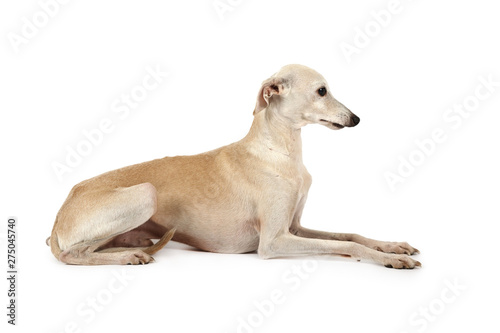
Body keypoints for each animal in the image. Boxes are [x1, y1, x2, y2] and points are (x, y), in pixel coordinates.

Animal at [47, 64, 422, 268]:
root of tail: (59, 216)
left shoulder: (295, 227)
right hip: (146, 193)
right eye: (321, 91)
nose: (356, 119)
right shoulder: (273, 241)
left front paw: (392, 246)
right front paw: (390, 259)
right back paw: (127, 257)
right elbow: (345, 245)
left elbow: (349, 235)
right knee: (71, 255)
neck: (278, 151)